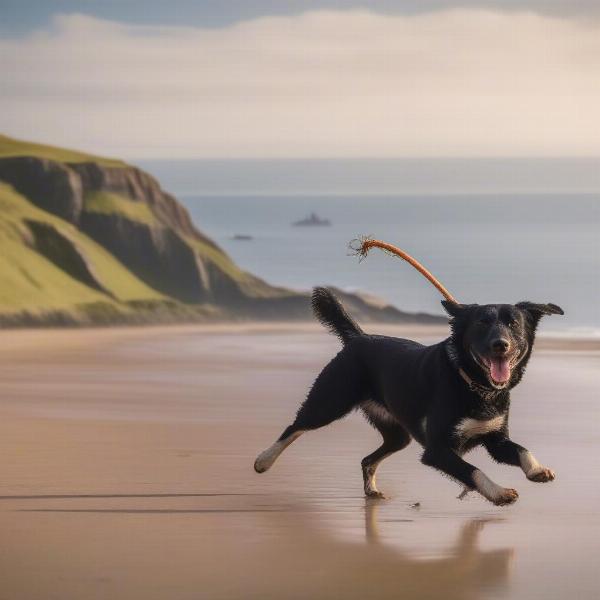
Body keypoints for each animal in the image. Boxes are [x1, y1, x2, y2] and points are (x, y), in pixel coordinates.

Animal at [254, 288, 564, 504]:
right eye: (481, 324)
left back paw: (372, 490)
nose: (501, 345)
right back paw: (264, 460)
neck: (474, 384)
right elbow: (473, 470)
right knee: (295, 427)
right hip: (330, 401)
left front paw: (537, 469)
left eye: (514, 324)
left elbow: (521, 450)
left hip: (397, 434)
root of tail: (358, 337)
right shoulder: (437, 449)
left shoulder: (496, 440)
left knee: (367, 459)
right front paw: (498, 492)